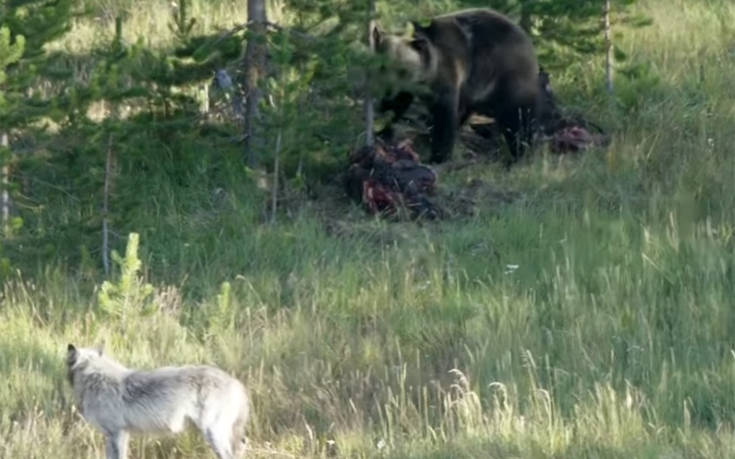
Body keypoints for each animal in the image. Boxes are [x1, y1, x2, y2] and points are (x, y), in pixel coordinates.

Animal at [374, 8, 540, 165]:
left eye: (402, 69)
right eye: (382, 66)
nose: (387, 90)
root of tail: (528, 41)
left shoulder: (447, 74)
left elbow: (444, 117)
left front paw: (437, 156)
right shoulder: (409, 87)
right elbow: (396, 105)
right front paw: (382, 128)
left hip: (506, 76)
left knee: (516, 118)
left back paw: (519, 154)